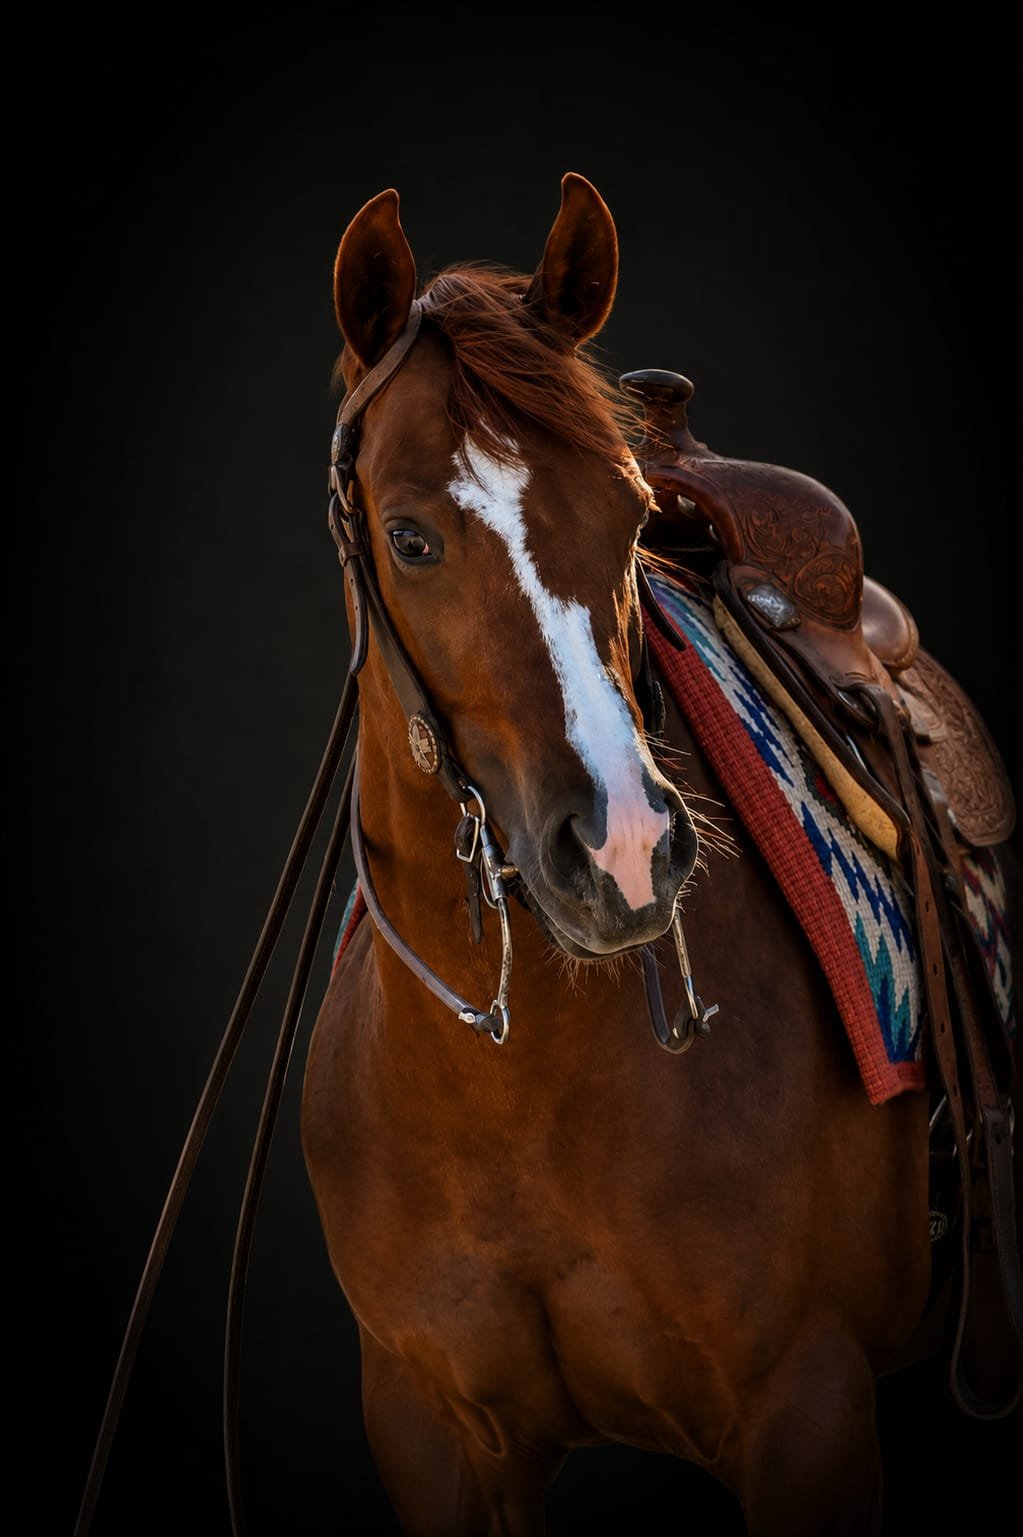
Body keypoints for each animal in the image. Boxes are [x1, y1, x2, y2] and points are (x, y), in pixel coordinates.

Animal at [300, 173, 1020, 1536]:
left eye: (632, 516)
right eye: (410, 539)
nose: (625, 848)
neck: (515, 1095)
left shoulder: (809, 1414)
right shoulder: (430, 1430)